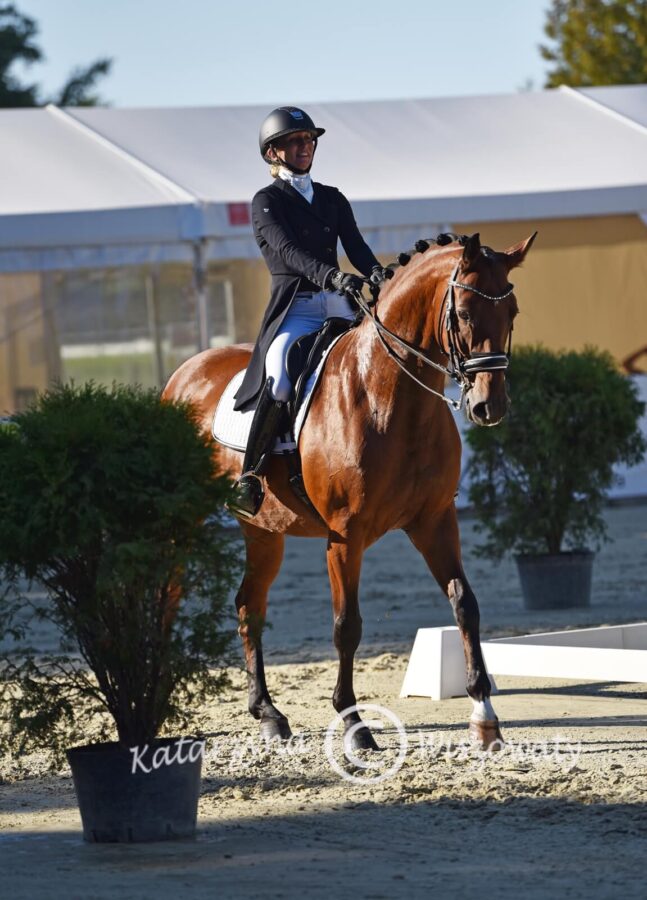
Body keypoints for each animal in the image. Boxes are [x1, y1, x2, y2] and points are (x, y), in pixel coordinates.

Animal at [163, 232, 536, 752]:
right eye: (462, 312)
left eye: (513, 312)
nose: (489, 406)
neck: (388, 396)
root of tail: (185, 371)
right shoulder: (344, 535)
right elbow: (347, 626)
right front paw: (354, 724)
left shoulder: (435, 521)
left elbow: (465, 603)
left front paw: (484, 717)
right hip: (182, 523)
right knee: (168, 597)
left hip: (262, 530)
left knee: (248, 606)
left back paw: (268, 713)